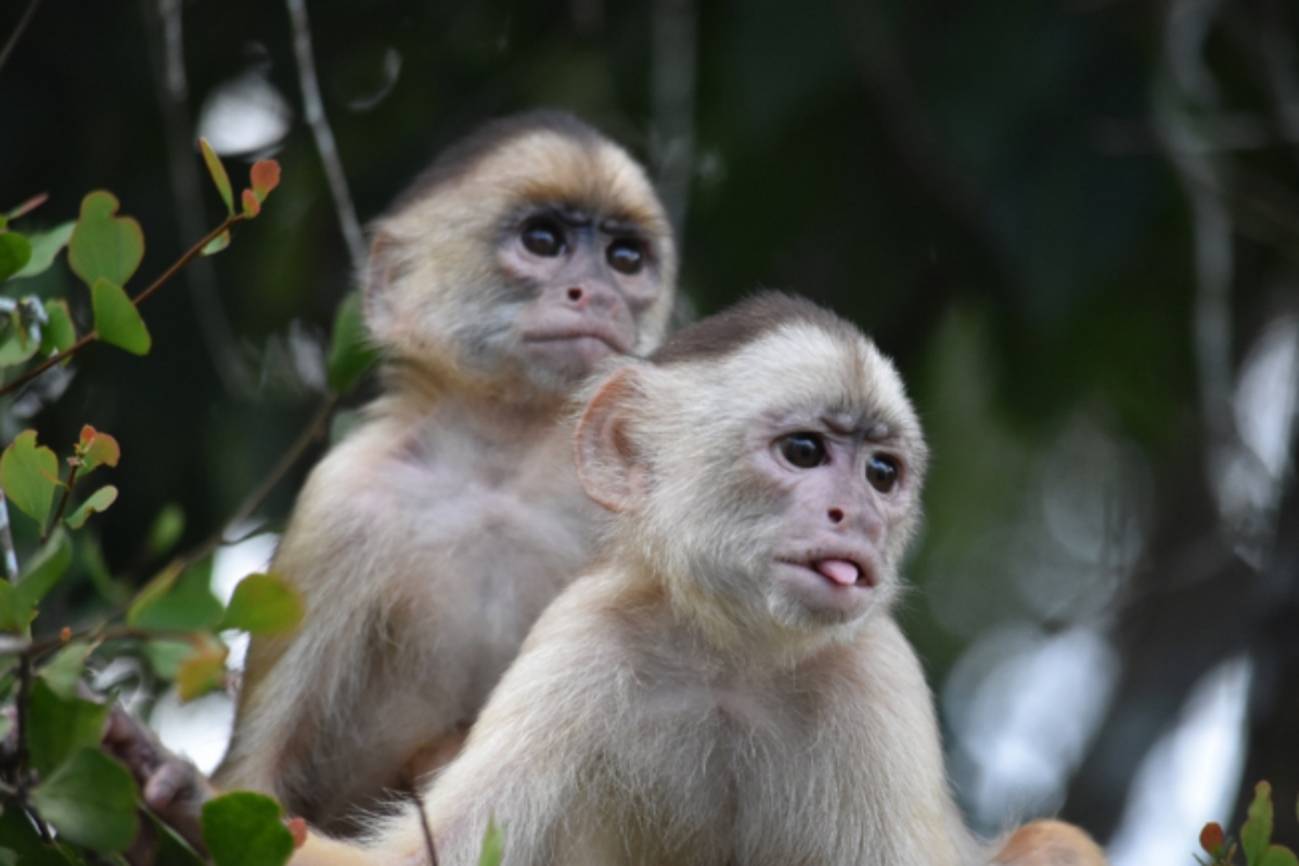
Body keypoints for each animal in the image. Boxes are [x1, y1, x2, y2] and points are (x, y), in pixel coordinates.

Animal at [213, 111, 680, 836]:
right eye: (543, 241)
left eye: (624, 258)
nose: (598, 293)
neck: (497, 474)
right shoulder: (339, 501)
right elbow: (251, 780)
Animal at [287, 293, 1106, 866]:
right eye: (804, 451)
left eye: (881, 473)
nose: (857, 517)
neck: (732, 661)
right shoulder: (583, 638)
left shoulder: (875, 677)